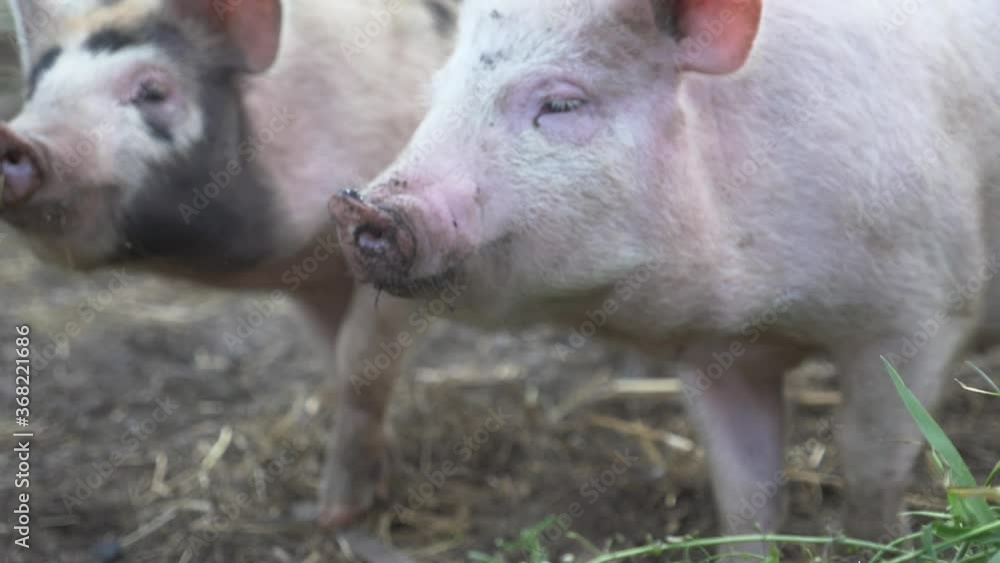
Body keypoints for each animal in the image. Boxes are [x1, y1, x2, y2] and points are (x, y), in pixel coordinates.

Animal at [0, 0, 458, 527]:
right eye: (36, 90)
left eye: (153, 91)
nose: (14, 137)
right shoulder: (314, 282)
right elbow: (334, 358)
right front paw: (381, 475)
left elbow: (361, 368)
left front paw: (338, 514)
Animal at [330, 0, 1000, 554]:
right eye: (438, 94)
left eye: (563, 103)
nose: (361, 207)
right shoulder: (717, 355)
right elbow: (745, 490)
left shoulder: (920, 311)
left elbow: (872, 462)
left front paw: (881, 540)